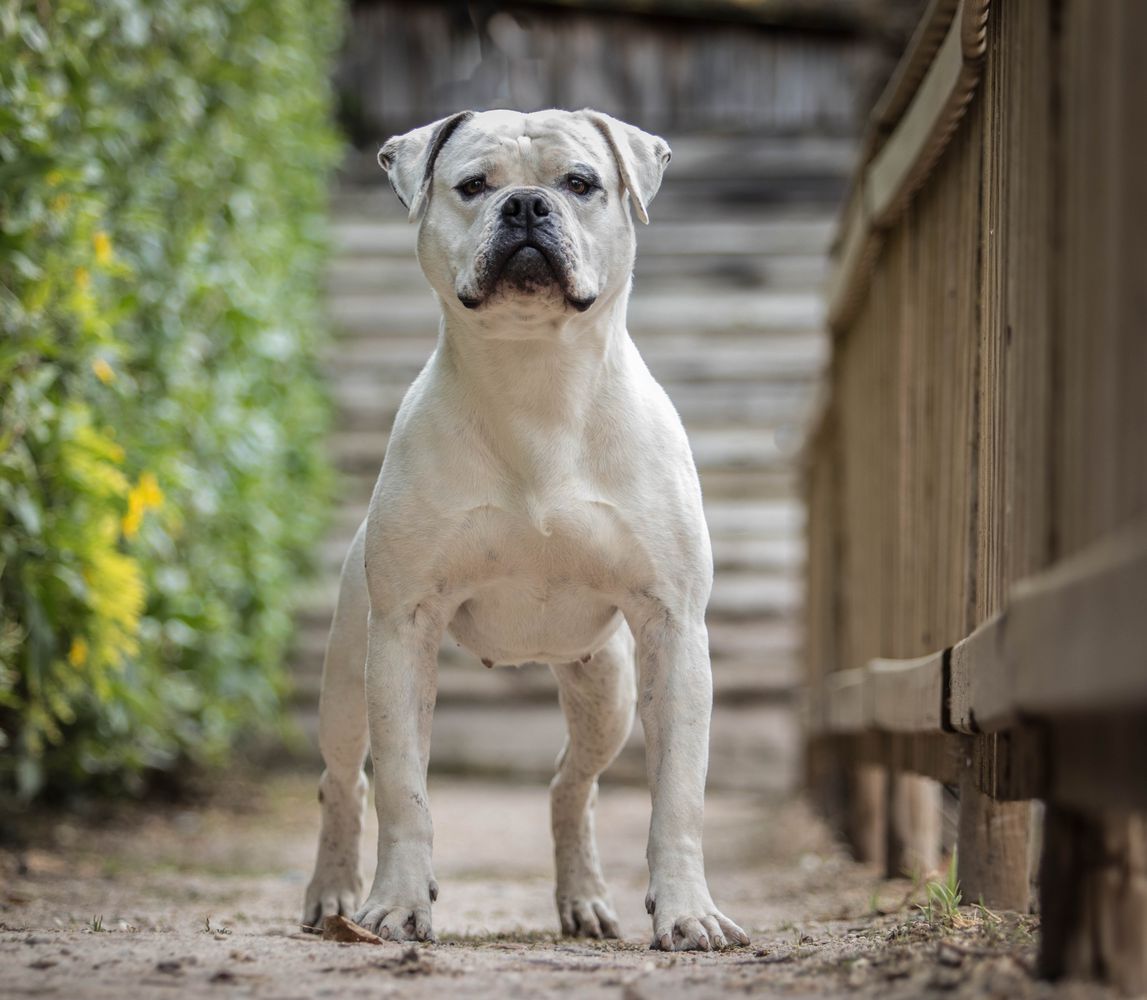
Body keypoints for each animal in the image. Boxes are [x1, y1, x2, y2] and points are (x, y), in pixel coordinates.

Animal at [305, 109, 747, 954]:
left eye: (580, 183)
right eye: (473, 186)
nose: (525, 205)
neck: (536, 379)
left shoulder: (672, 630)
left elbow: (679, 794)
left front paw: (687, 912)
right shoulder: (402, 630)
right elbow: (404, 791)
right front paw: (398, 903)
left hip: (606, 689)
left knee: (570, 783)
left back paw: (585, 902)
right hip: (348, 678)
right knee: (343, 782)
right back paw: (334, 895)